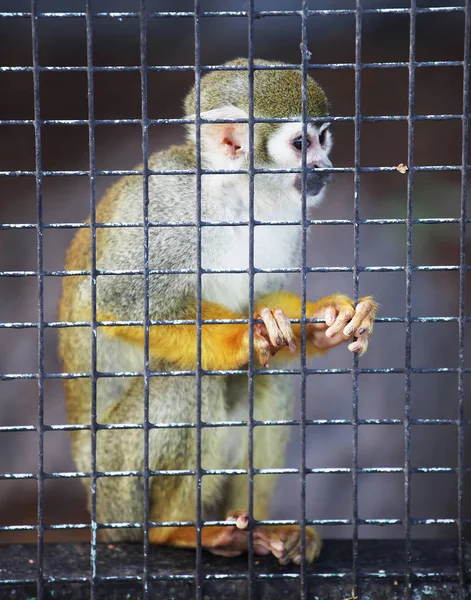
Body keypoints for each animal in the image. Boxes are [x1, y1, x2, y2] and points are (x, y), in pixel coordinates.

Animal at [59, 59, 378, 568]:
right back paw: (175, 533)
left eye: (323, 138)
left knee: (266, 376)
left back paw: (256, 526)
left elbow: (265, 302)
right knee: (189, 378)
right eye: (300, 144)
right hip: (114, 489)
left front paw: (327, 320)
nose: (325, 168)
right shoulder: (167, 208)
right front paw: (244, 338)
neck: (235, 197)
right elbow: (114, 300)